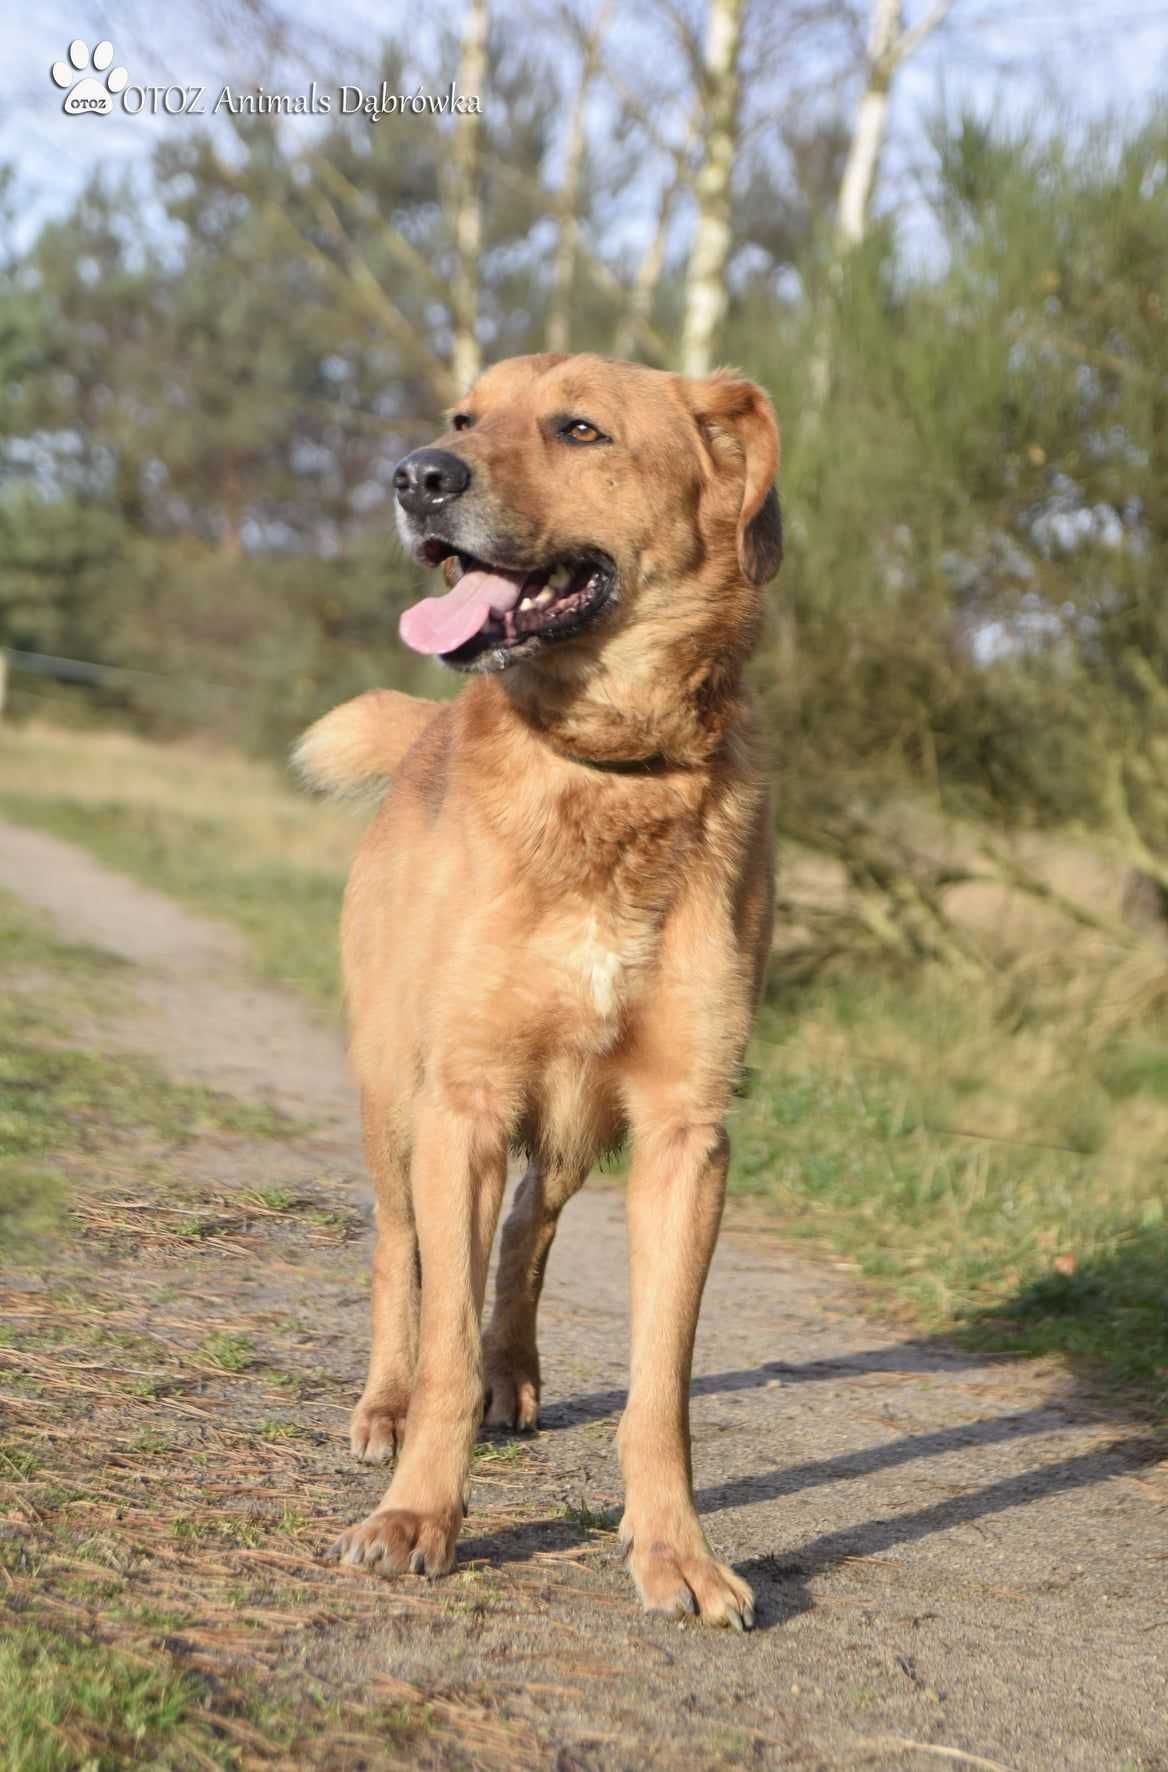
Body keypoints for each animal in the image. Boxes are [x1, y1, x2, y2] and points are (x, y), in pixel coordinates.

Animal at [297, 352, 779, 1623]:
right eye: (466, 415)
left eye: (579, 430)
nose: (416, 474)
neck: (607, 773)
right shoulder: (460, 1102)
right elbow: (443, 1343)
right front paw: (418, 1513)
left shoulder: (683, 1134)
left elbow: (661, 1387)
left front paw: (675, 1548)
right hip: (394, 1095)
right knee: (402, 1257)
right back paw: (385, 1403)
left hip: (568, 1123)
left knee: (527, 1229)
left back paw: (513, 1372)